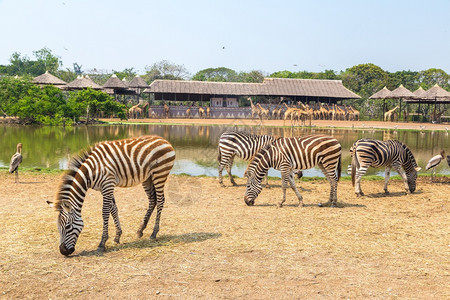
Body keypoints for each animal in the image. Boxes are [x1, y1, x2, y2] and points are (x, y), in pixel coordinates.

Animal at [46, 136, 176, 255]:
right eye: (58, 227)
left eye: (68, 226)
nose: (63, 251)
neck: (91, 172)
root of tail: (163, 139)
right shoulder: (105, 187)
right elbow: (113, 209)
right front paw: (117, 236)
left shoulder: (107, 184)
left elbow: (105, 211)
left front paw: (102, 243)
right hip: (147, 178)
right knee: (153, 200)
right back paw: (140, 230)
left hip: (159, 174)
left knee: (160, 200)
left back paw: (154, 232)